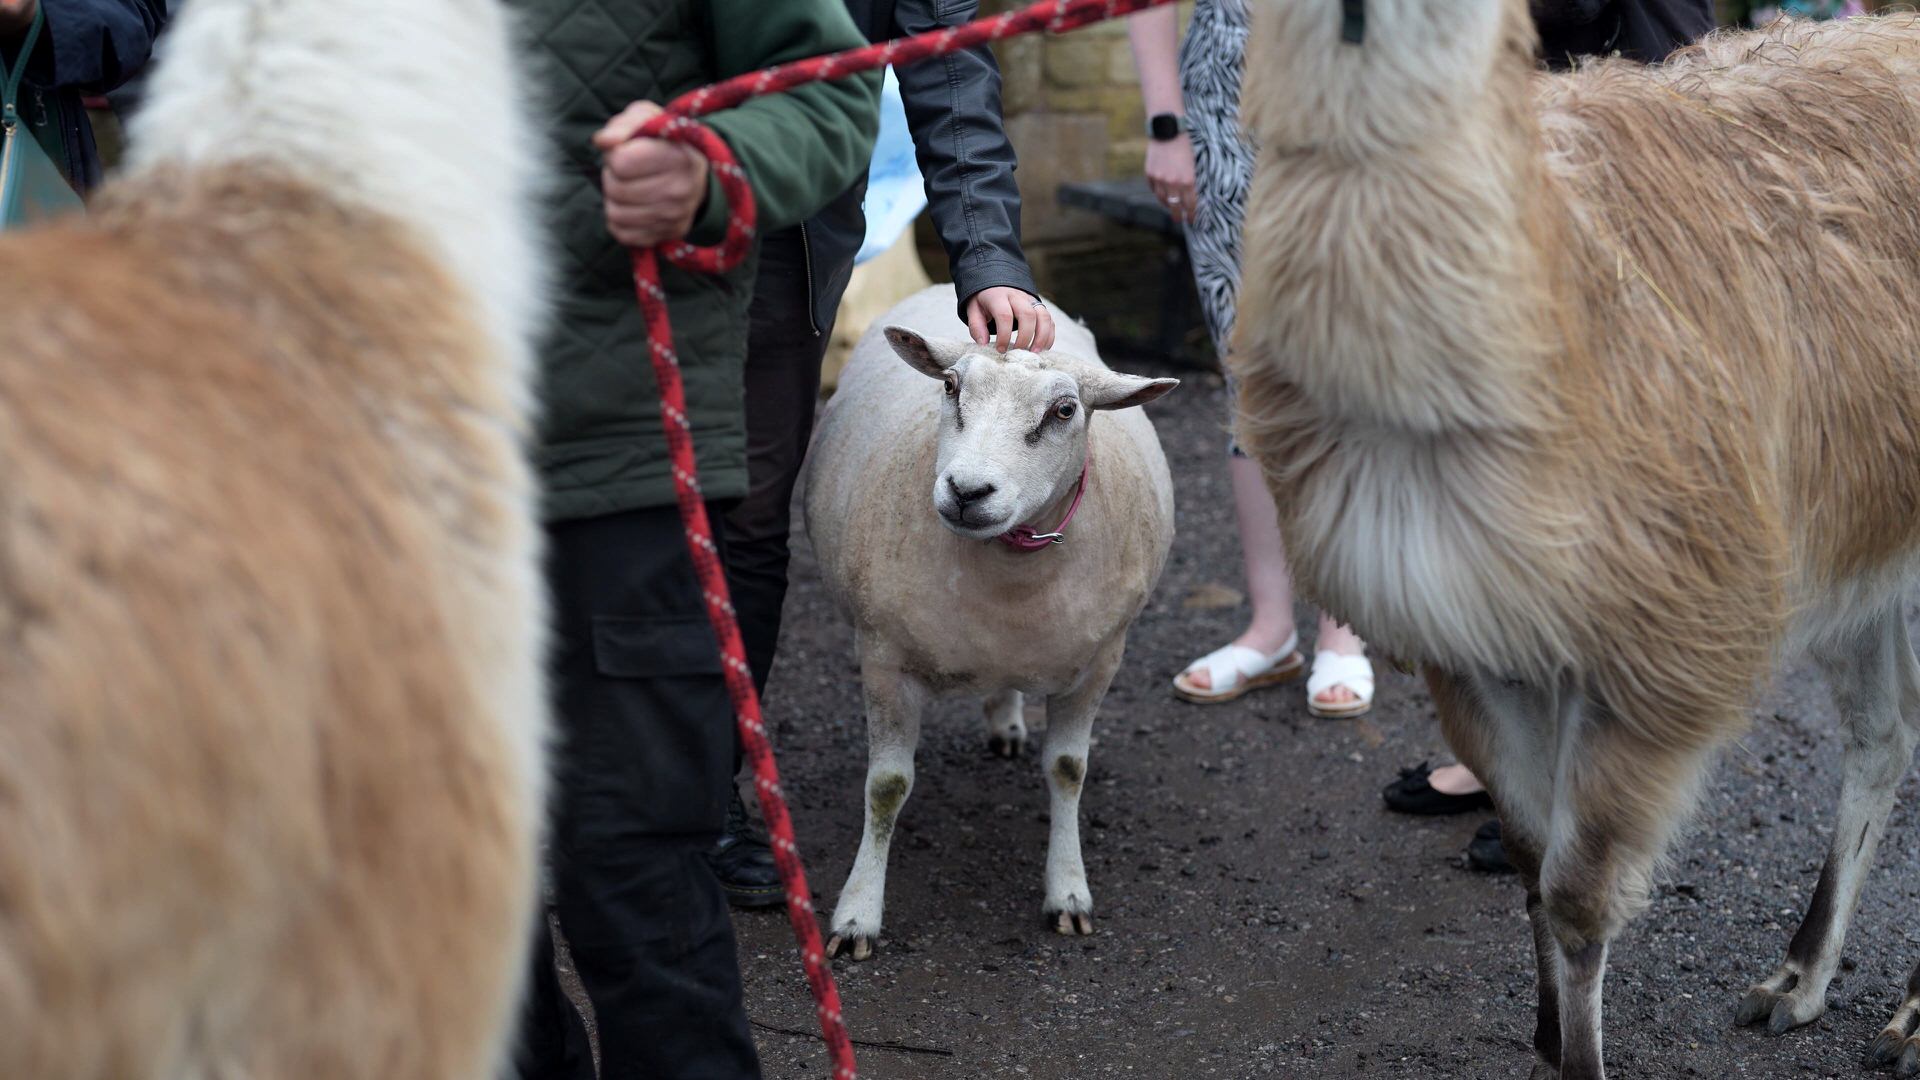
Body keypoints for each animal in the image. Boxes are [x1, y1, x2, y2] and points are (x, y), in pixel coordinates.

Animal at [804, 285, 1178, 958]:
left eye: (1064, 411)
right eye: (951, 387)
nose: (967, 491)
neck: (1010, 580)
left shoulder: (1100, 662)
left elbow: (1068, 770)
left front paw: (1068, 891)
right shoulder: (883, 659)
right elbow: (885, 787)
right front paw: (857, 912)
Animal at [1234, 4, 1920, 1077]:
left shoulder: (1658, 643)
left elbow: (1580, 894)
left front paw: (1581, 1059)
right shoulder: (1472, 640)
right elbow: (1527, 859)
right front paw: (1548, 1037)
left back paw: (1910, 1018)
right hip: (1859, 530)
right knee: (1883, 735)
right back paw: (1798, 981)